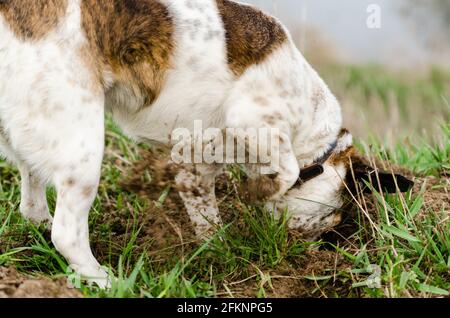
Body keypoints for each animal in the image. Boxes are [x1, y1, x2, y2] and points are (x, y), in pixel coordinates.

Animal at [0, 0, 414, 288]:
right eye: (331, 223)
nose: (308, 255)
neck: (315, 138)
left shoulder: (195, 165)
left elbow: (206, 213)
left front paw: (217, 250)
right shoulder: (256, 119)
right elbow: (286, 170)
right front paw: (257, 193)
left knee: (32, 199)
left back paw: (40, 227)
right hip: (82, 144)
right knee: (68, 233)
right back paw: (104, 280)